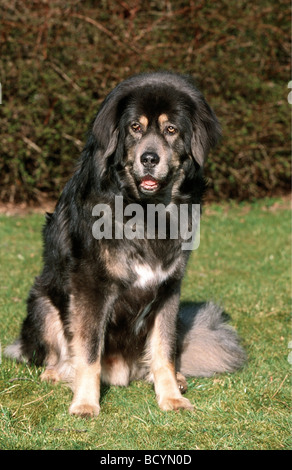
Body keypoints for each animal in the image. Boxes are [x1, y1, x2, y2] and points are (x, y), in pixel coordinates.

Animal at [5, 71, 245, 416]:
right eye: (135, 127)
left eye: (171, 129)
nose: (149, 158)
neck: (146, 211)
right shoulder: (91, 286)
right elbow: (88, 352)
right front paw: (85, 403)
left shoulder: (169, 289)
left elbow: (164, 351)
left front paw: (171, 397)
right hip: (43, 302)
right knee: (56, 355)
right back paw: (59, 374)